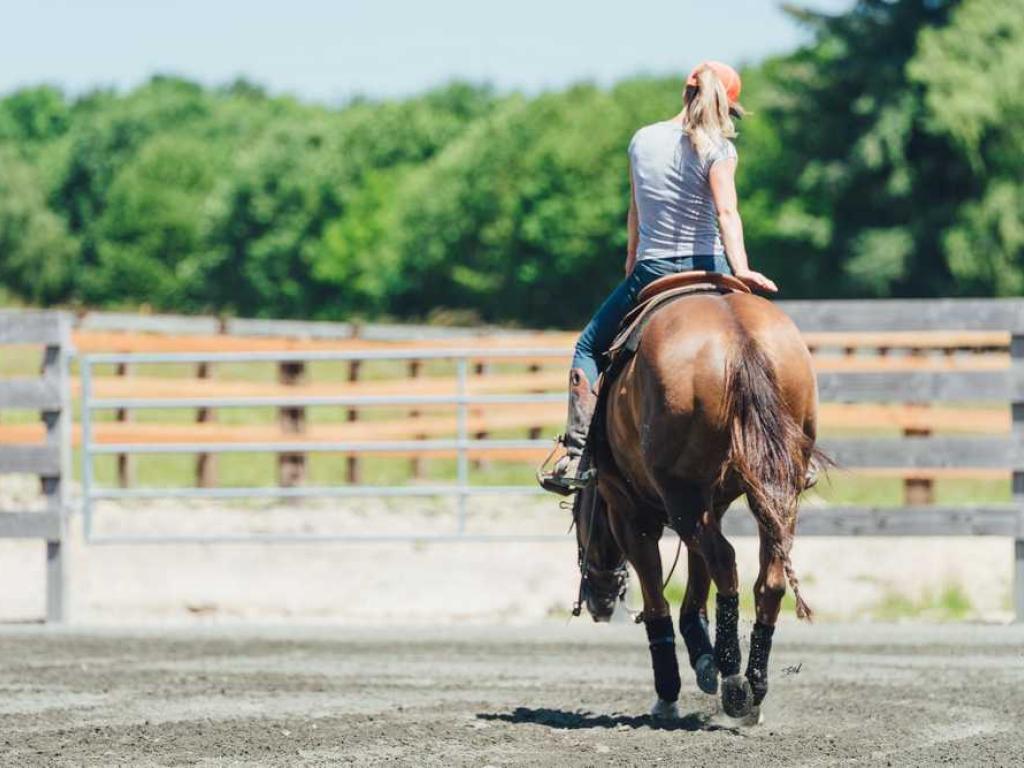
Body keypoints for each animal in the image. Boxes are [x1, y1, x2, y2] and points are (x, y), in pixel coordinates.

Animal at [577, 286, 815, 720]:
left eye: (579, 521)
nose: (598, 604)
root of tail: (740, 338)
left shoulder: (629, 512)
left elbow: (658, 594)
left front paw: (669, 692)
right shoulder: (711, 503)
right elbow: (696, 573)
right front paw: (705, 657)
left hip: (680, 495)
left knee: (724, 559)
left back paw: (734, 683)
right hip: (773, 490)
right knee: (767, 577)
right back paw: (753, 684)